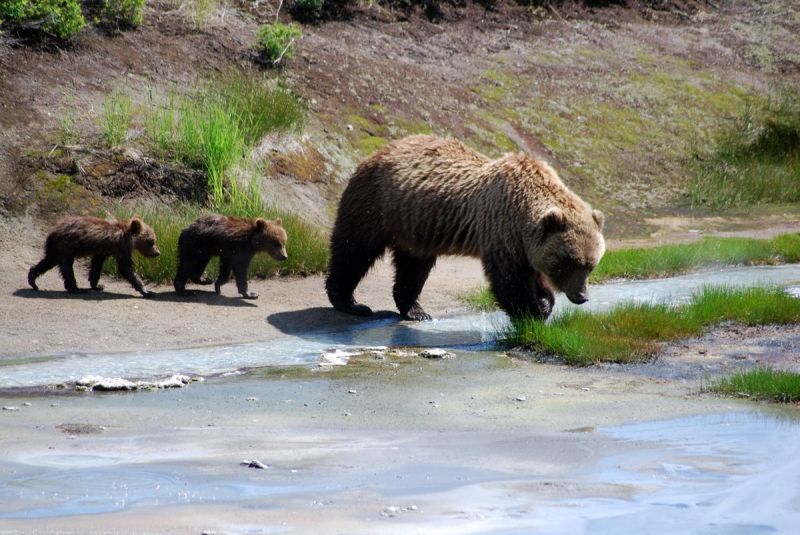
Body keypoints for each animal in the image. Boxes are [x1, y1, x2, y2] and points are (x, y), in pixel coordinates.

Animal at [28, 215, 162, 298]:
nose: (157, 253)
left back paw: (33, 280)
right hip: (65, 246)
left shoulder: (104, 251)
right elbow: (126, 268)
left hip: (56, 248)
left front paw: (97, 285)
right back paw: (76, 289)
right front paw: (147, 291)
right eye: (151, 241)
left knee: (48, 261)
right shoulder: (122, 248)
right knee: (66, 267)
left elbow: (97, 265)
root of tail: (52, 232)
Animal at [324, 137, 608, 322]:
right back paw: (350, 302)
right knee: (354, 250)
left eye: (591, 265)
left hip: (414, 223)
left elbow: (530, 275)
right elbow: (509, 279)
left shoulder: (524, 243)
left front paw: (544, 301)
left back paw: (416, 310)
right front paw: (531, 310)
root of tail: (375, 153)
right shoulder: (501, 230)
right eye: (569, 262)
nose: (582, 296)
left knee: (412, 267)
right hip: (375, 203)